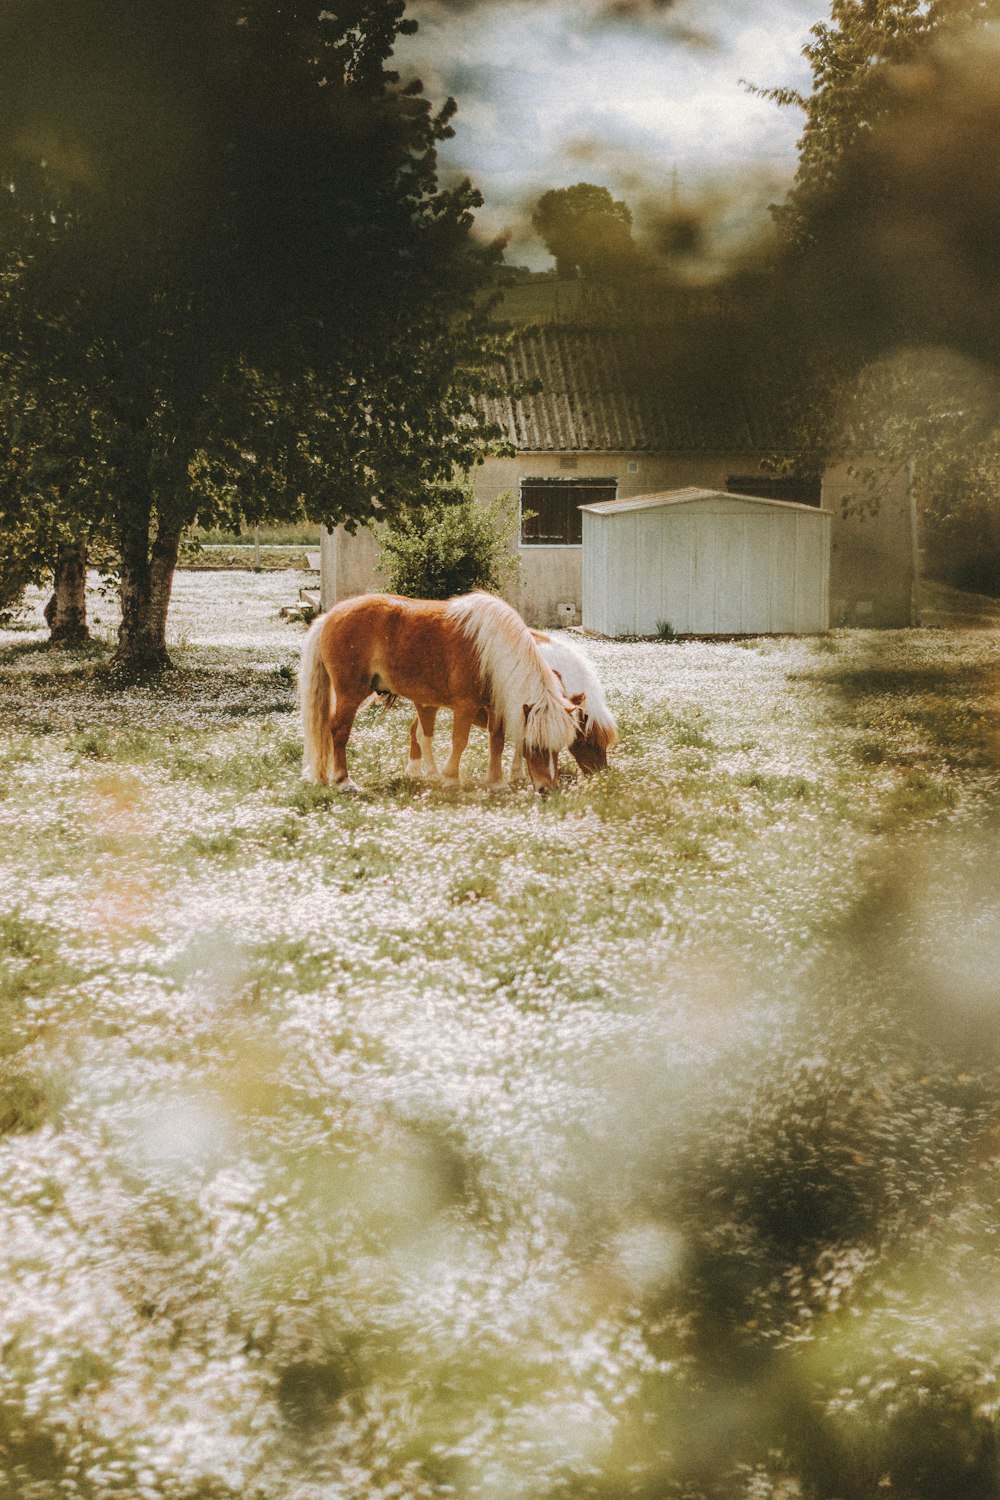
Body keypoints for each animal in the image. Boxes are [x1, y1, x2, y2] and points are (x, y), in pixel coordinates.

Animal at [299, 591, 578, 792]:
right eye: (534, 745)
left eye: (557, 748)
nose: (547, 789)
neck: (491, 649)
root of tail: (330, 616)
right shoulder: (465, 705)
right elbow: (460, 741)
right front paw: (451, 778)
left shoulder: (495, 706)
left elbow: (496, 742)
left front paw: (496, 782)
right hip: (350, 693)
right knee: (339, 731)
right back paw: (344, 781)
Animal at [407, 627, 617, 786]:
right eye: (589, 740)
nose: (602, 776)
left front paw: (518, 774)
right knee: (421, 733)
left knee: (414, 730)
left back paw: (414, 770)